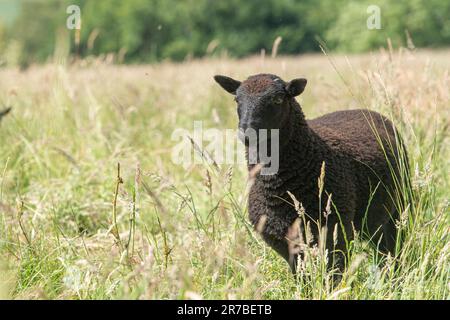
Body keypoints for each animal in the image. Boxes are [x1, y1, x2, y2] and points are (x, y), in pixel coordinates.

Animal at [214, 72, 408, 276]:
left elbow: (333, 273)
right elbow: (302, 275)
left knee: (390, 246)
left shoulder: (334, 230)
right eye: (237, 99)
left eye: (278, 99)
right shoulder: (284, 240)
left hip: (399, 205)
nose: (247, 134)